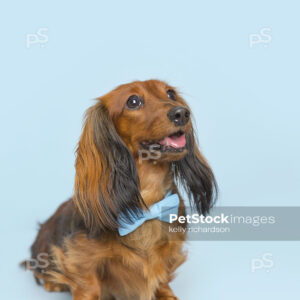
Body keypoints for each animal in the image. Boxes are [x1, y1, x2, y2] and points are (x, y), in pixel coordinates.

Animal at [22, 79, 216, 300]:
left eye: (171, 94)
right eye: (133, 101)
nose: (181, 113)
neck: (147, 203)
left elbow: (162, 280)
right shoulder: (82, 261)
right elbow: (88, 286)